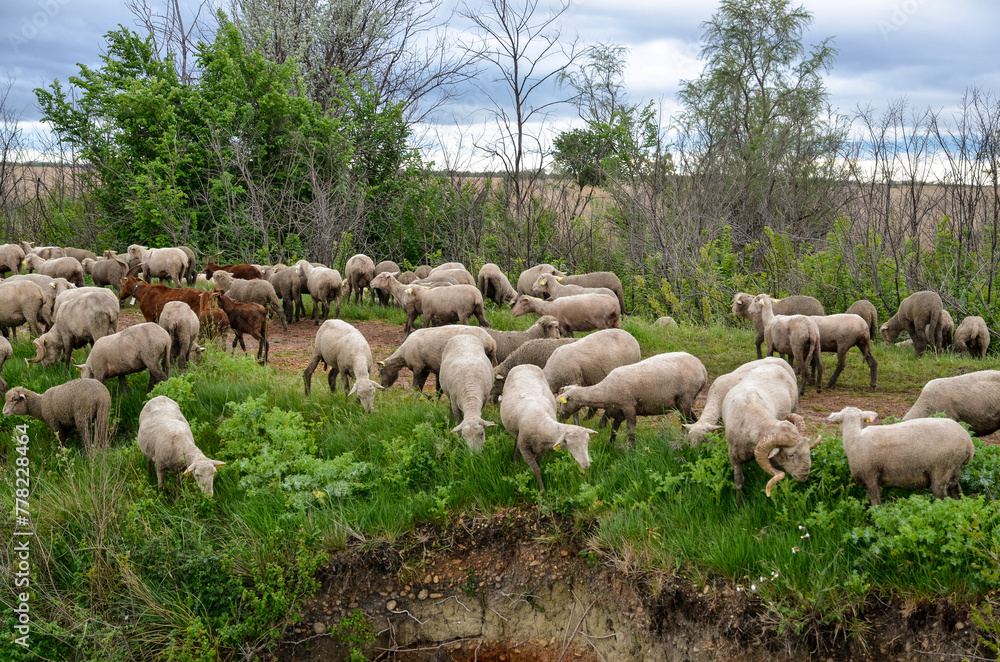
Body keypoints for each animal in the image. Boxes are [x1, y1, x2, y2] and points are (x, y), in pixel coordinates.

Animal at [500, 364, 596, 492]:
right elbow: (536, 470)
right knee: (516, 439)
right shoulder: (525, 448)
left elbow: (537, 464)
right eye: (570, 444)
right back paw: (515, 460)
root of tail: (524, 365)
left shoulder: (542, 448)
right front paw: (542, 492)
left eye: (587, 441)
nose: (586, 465)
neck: (541, 423)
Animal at [557, 352, 708, 446]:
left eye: (561, 403)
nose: (560, 417)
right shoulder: (617, 413)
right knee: (693, 420)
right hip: (683, 401)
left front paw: (632, 451)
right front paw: (609, 448)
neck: (604, 391)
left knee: (685, 422)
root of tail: (702, 367)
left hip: (685, 398)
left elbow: (631, 432)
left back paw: (683, 440)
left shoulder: (628, 407)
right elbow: (613, 432)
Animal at [720, 363, 817, 507]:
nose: (804, 476)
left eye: (808, 450)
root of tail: (774, 364)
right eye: (790, 455)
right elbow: (739, 482)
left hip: (794, 406)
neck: (751, 417)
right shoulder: (733, 456)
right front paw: (740, 505)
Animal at [827, 406, 974, 506]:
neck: (854, 438)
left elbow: (875, 503)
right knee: (957, 493)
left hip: (942, 469)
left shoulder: (871, 477)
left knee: (942, 498)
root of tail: (968, 443)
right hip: (954, 469)